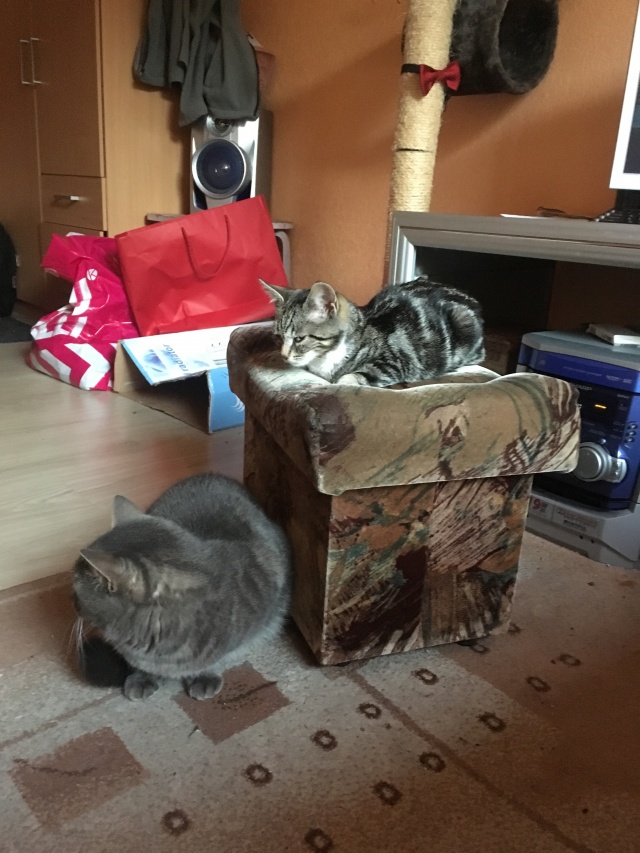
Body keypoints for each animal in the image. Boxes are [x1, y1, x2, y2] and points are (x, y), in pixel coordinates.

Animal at [72, 472, 292, 701]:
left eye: (75, 589)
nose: (71, 602)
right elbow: (139, 665)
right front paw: (142, 677)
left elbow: (219, 657)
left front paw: (204, 675)